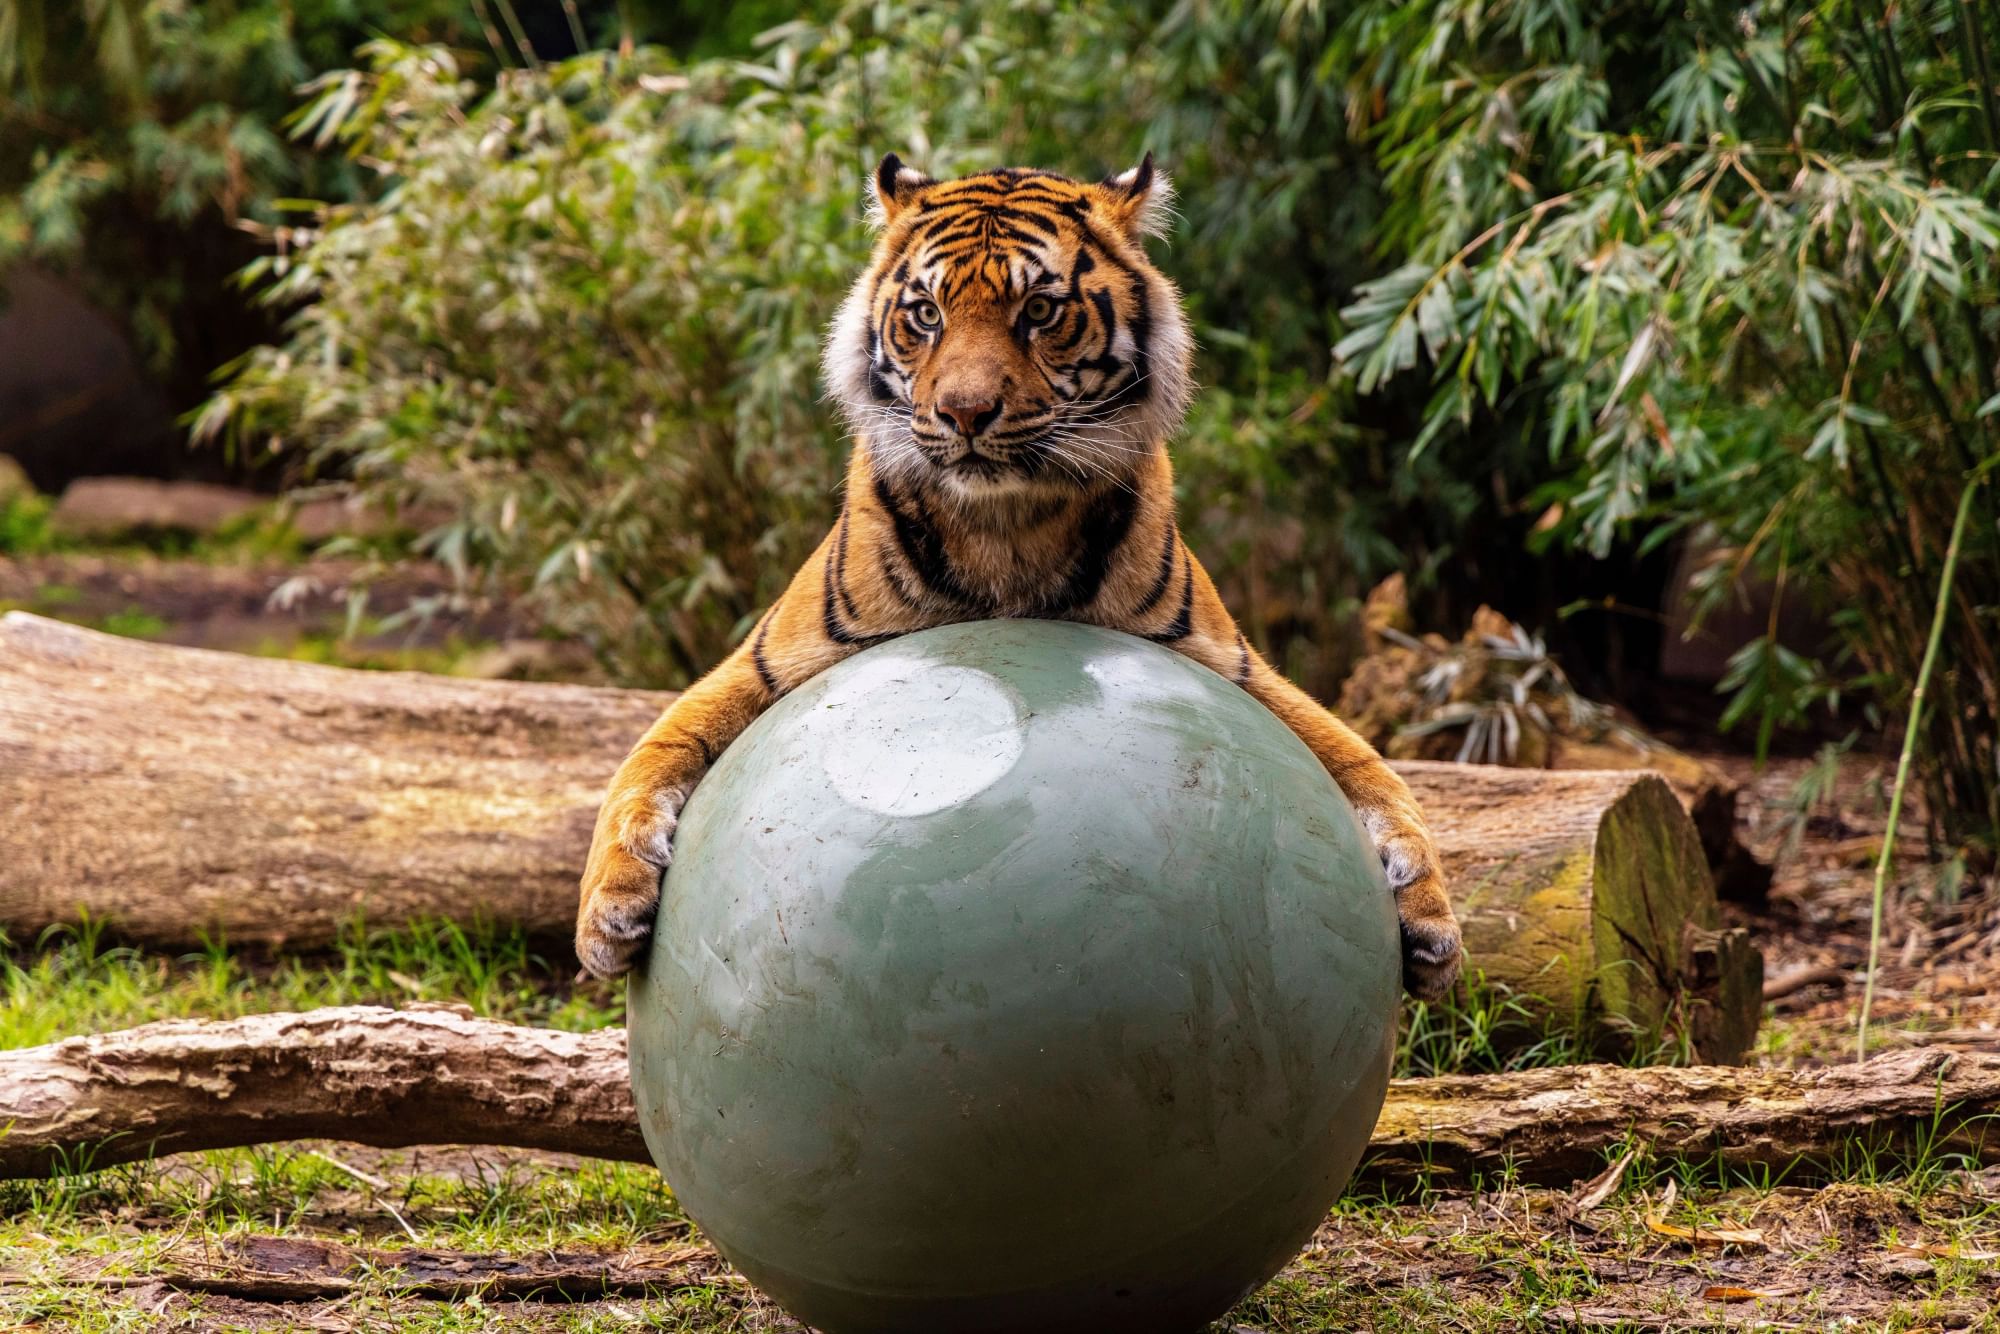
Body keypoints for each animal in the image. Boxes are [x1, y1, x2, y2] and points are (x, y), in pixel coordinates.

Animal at [575, 154, 1464, 1000]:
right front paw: (607, 912)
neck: (1005, 524)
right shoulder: (767, 660)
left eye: (1038, 311)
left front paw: (1432, 920)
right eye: (926, 314)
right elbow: (649, 754)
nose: (966, 413)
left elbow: (1366, 764)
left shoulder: (1232, 664)